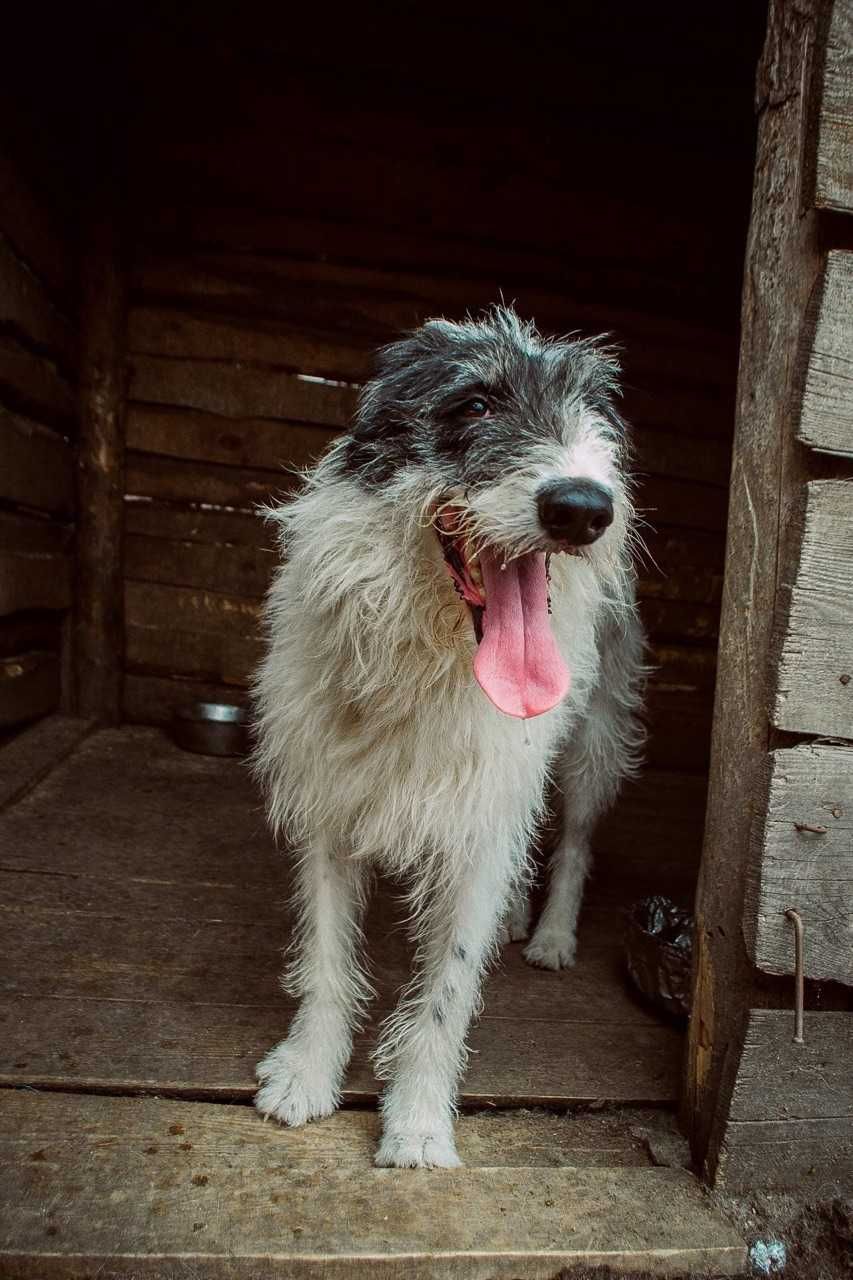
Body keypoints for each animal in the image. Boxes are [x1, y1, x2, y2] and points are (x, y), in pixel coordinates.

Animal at [249, 304, 640, 1167]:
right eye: (474, 404)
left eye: (591, 417)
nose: (582, 506)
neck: (429, 656)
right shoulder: (328, 805)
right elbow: (326, 956)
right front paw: (307, 1074)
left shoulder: (479, 829)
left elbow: (448, 987)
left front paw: (419, 1122)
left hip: (593, 743)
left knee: (575, 840)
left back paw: (550, 934)